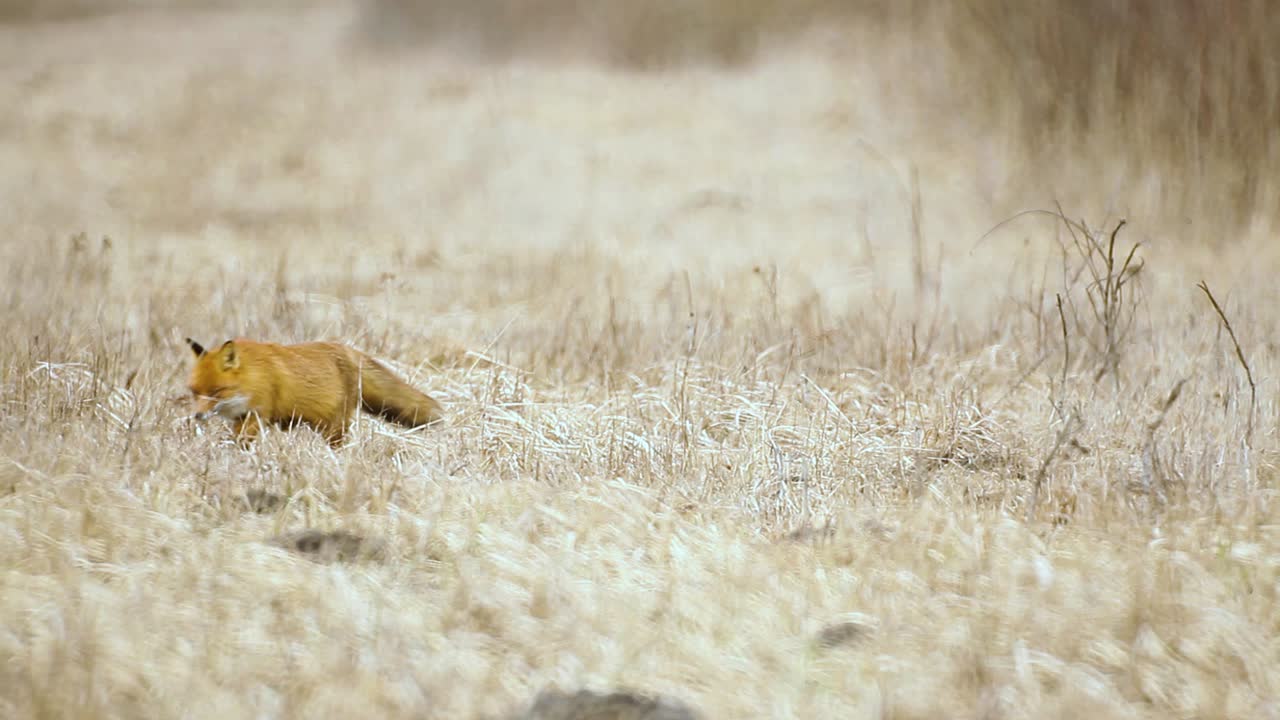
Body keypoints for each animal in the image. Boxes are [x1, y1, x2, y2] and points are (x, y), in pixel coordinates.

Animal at [184, 337, 443, 447]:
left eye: (217, 391)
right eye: (195, 391)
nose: (198, 416)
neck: (253, 375)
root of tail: (349, 350)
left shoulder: (258, 413)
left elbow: (242, 440)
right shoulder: (242, 417)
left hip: (334, 426)